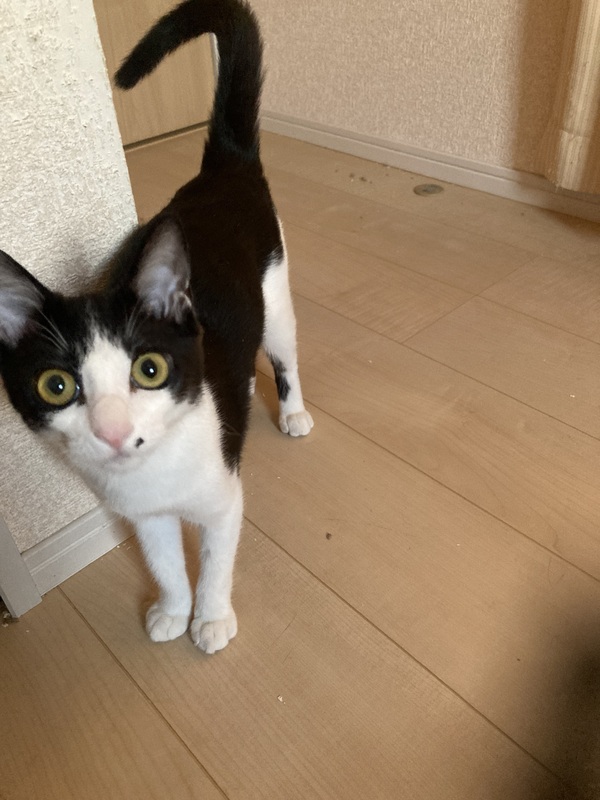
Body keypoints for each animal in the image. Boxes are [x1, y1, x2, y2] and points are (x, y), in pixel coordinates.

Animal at [0, 0, 313, 654]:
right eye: (56, 386)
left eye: (149, 370)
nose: (114, 432)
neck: (154, 473)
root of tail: (223, 167)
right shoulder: (144, 515)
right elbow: (165, 561)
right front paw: (171, 609)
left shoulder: (222, 498)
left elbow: (216, 558)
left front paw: (211, 619)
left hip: (275, 287)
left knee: (284, 351)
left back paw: (293, 411)